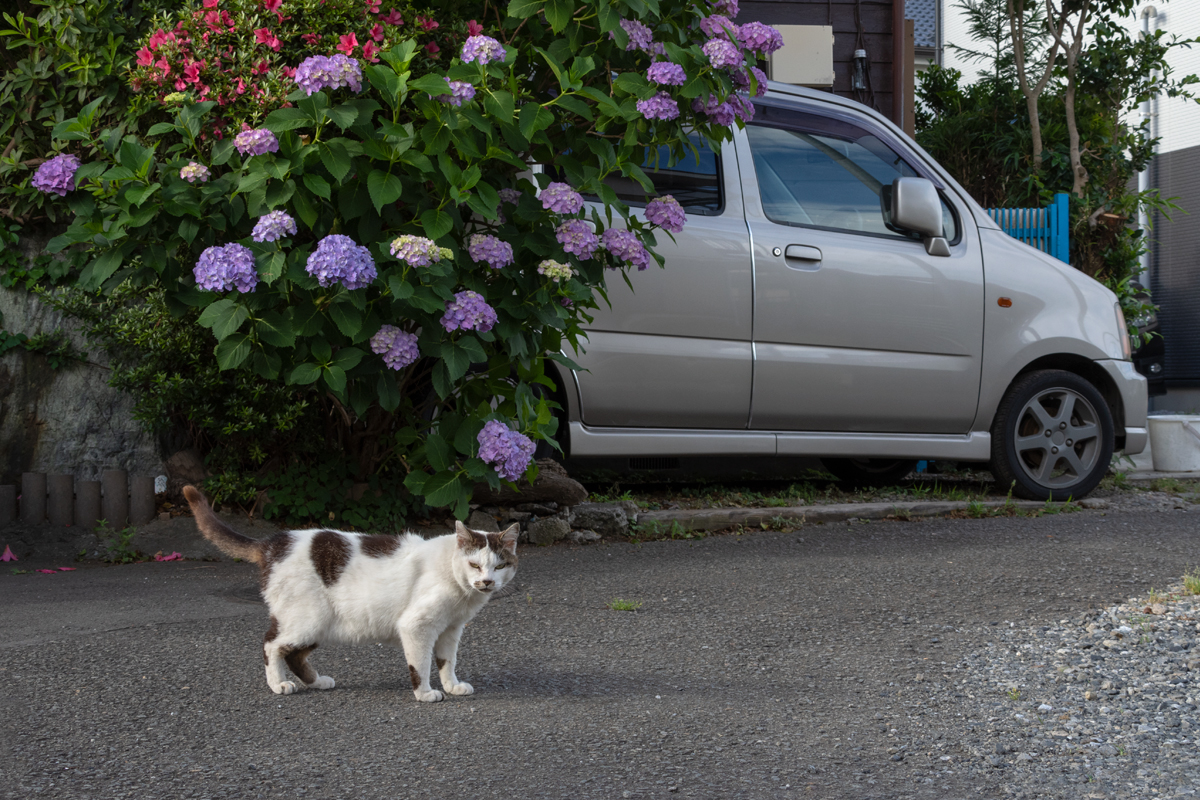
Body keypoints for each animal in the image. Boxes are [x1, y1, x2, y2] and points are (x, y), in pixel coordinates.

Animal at [180, 482, 518, 700]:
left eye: (500, 565)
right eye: (474, 565)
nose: (487, 582)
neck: (459, 589)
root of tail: (271, 543)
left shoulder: (450, 630)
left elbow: (447, 662)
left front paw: (452, 686)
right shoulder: (416, 626)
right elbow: (420, 664)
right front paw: (425, 693)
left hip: (318, 625)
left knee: (293, 653)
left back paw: (317, 682)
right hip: (307, 619)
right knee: (271, 644)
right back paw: (278, 685)